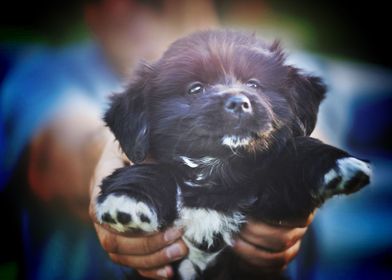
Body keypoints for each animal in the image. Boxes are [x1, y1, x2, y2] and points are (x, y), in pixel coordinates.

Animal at [95, 29, 370, 278]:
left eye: (254, 84)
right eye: (195, 89)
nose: (238, 102)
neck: (217, 173)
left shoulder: (277, 201)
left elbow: (294, 153)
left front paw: (337, 163)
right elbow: (149, 169)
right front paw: (126, 199)